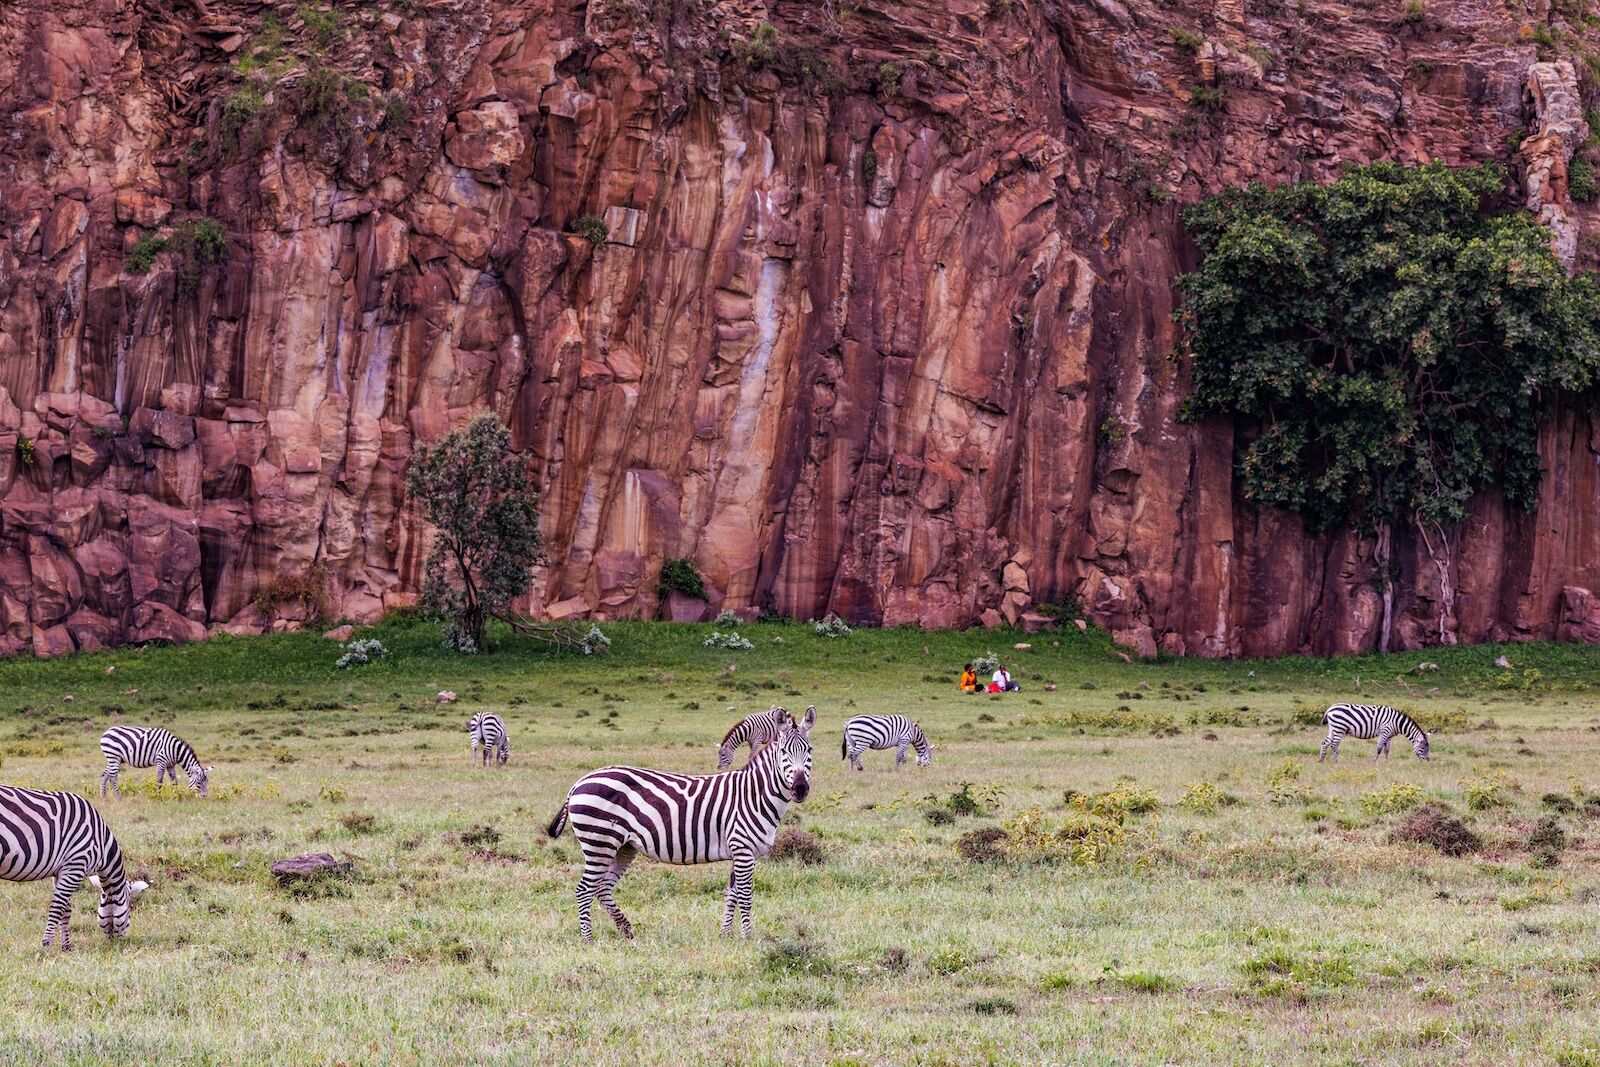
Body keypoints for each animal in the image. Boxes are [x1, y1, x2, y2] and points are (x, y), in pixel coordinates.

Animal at [0, 786, 149, 950]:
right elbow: (57, 907)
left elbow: (66, 910)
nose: (115, 946)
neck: (102, 844)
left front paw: (66, 946)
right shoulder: (76, 865)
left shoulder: (61, 870)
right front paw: (47, 945)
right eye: (130, 910)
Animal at [547, 705, 816, 942]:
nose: (800, 788)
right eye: (784, 752)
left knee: (602, 888)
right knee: (584, 890)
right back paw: (588, 939)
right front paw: (747, 937)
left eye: (809, 750)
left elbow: (732, 894)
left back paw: (627, 929)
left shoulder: (739, 851)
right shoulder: (743, 850)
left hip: (622, 847)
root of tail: (580, 781)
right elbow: (746, 895)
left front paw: (726, 935)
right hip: (599, 843)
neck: (754, 794)